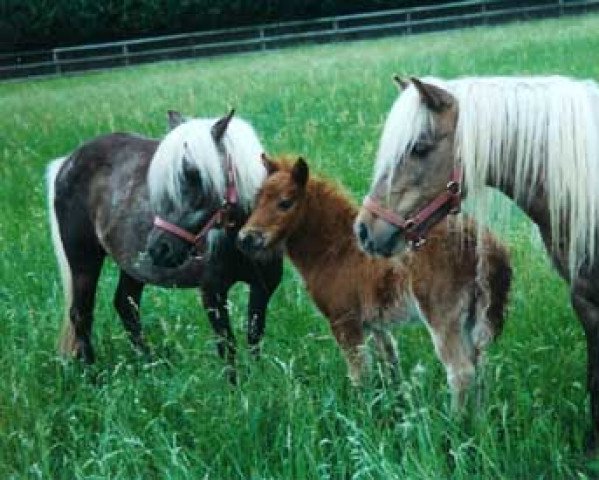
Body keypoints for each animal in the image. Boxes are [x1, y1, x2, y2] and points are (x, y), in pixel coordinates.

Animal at [47, 110, 282, 380]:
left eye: (195, 176)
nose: (159, 249)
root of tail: (68, 161)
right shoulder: (212, 293)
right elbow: (227, 345)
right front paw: (235, 387)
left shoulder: (264, 287)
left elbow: (254, 338)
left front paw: (258, 379)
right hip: (83, 260)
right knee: (81, 314)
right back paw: (93, 376)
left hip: (133, 267)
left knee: (125, 304)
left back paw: (153, 365)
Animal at [238, 157, 510, 408]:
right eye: (256, 201)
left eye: (285, 203)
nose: (246, 238)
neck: (337, 251)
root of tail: (486, 244)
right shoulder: (375, 325)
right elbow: (389, 364)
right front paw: (394, 407)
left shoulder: (344, 321)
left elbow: (360, 374)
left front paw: (361, 414)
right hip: (472, 317)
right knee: (480, 367)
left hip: (443, 318)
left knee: (461, 373)